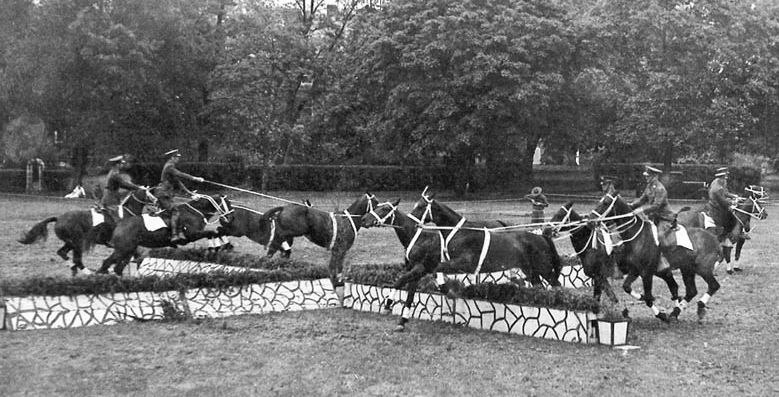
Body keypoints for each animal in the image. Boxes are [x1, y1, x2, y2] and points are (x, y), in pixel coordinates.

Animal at [97, 194, 233, 276]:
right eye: (228, 203)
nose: (231, 217)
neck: (194, 212)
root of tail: (119, 224)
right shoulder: (191, 235)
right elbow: (212, 233)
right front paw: (216, 247)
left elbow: (215, 233)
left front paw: (223, 246)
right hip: (123, 249)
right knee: (107, 263)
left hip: (128, 250)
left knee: (116, 268)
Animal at [408, 190, 560, 286]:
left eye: (421, 206)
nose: (411, 221)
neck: (460, 233)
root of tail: (543, 238)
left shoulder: (463, 263)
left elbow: (437, 268)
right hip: (530, 269)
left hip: (544, 268)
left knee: (556, 284)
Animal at [592, 192, 724, 318]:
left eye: (605, 202)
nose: (590, 217)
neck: (637, 236)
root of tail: (715, 241)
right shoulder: (635, 270)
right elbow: (627, 287)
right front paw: (641, 297)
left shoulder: (646, 273)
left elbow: (648, 298)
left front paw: (660, 315)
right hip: (687, 269)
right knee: (691, 291)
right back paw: (675, 313)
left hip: (703, 268)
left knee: (714, 286)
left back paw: (699, 306)